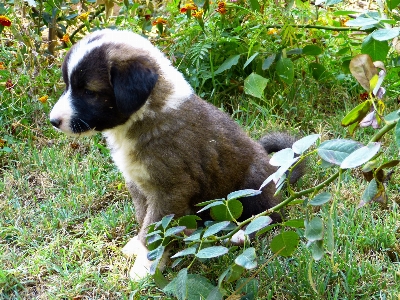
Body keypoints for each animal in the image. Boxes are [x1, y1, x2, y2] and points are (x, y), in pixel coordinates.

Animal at [49, 29, 300, 280]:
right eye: (67, 85)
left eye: (89, 92)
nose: (53, 121)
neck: (144, 114)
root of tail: (278, 171)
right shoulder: (137, 184)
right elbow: (143, 217)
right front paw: (141, 246)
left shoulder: (169, 189)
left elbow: (154, 227)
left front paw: (145, 265)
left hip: (253, 184)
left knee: (271, 214)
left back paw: (243, 234)